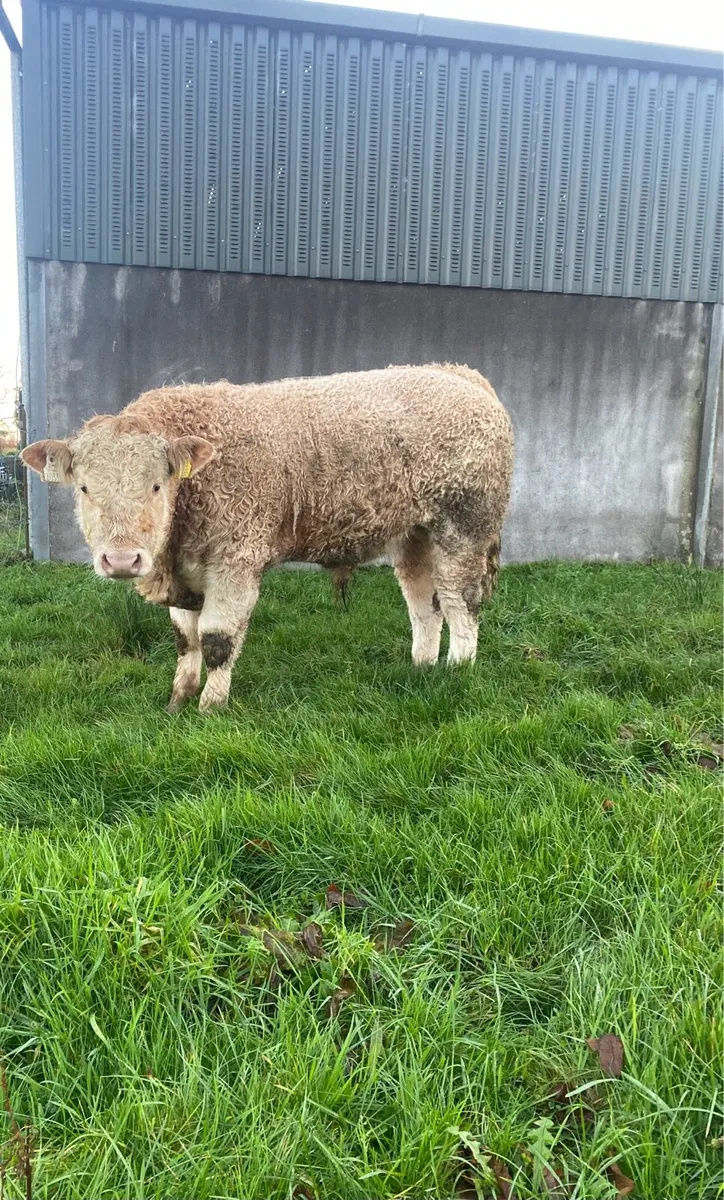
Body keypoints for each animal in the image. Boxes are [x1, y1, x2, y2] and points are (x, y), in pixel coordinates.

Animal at [22, 364, 514, 713]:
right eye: (84, 488)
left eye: (158, 486)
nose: (123, 560)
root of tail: (458, 373)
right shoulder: (187, 571)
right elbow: (187, 639)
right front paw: (178, 699)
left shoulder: (236, 559)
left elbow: (217, 639)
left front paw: (210, 708)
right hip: (413, 535)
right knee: (423, 602)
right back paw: (421, 667)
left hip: (463, 527)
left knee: (459, 602)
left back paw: (456, 671)